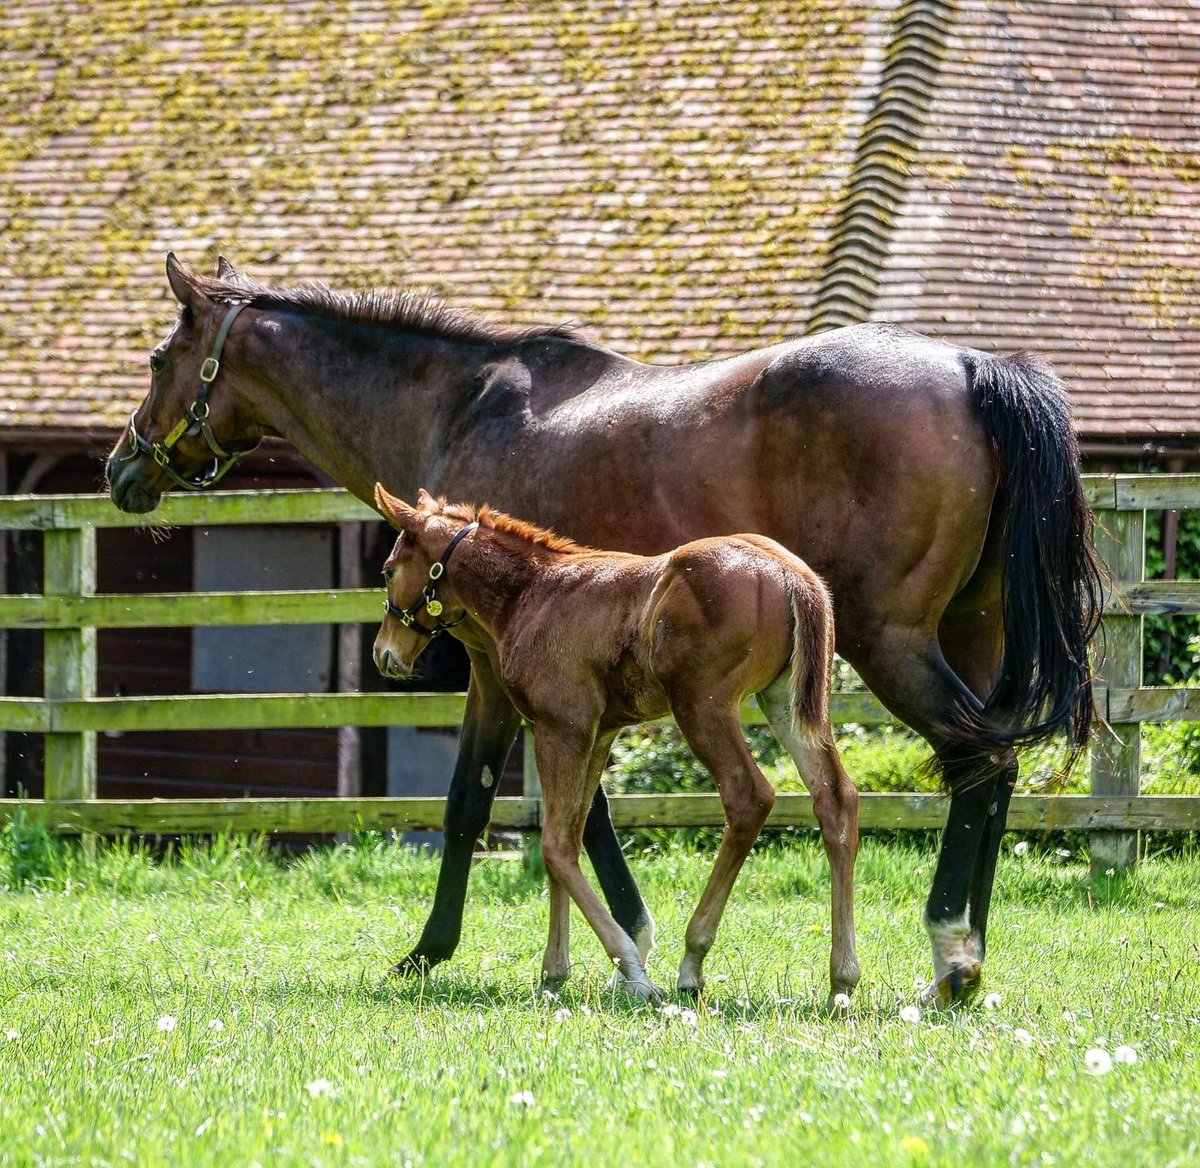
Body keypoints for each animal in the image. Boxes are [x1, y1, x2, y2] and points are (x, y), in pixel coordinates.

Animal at [371, 485, 859, 1004]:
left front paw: (629, 967)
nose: (384, 653)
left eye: (388, 570)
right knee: (836, 798)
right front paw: (553, 972)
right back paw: (842, 978)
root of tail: (792, 576)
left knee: (749, 797)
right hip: (788, 704)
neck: (533, 594)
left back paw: (692, 962)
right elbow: (571, 829)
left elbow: (557, 844)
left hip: (703, 706)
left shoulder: (560, 726)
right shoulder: (598, 733)